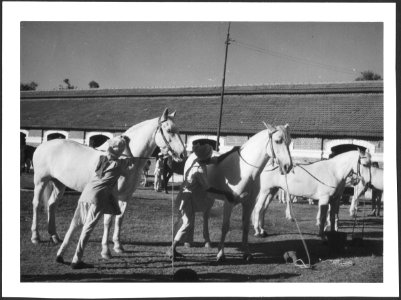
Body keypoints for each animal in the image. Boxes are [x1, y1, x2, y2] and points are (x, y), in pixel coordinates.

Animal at [30, 108, 185, 258]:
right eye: (169, 130)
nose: (182, 154)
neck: (125, 159)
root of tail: (43, 146)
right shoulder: (112, 196)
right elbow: (108, 221)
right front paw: (106, 250)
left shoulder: (125, 196)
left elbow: (119, 219)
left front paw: (118, 246)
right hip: (40, 181)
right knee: (36, 204)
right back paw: (35, 237)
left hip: (59, 184)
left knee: (51, 205)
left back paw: (54, 236)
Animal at [176, 123, 290, 262]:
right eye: (278, 141)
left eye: (289, 142)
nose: (288, 166)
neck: (246, 171)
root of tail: (193, 156)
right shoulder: (229, 202)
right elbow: (225, 227)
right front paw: (221, 254)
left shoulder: (249, 203)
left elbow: (245, 227)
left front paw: (247, 253)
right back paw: (188, 242)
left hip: (209, 197)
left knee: (205, 215)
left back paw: (207, 241)